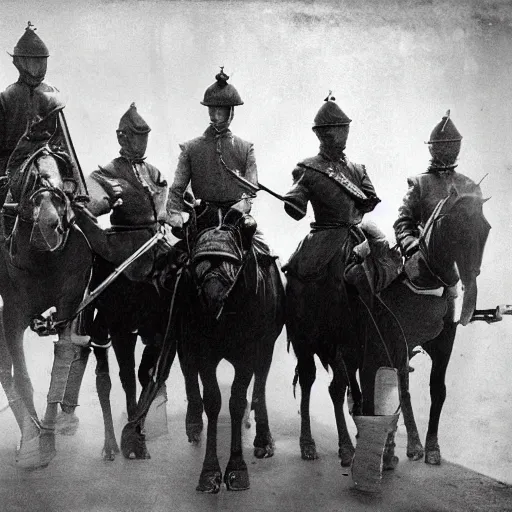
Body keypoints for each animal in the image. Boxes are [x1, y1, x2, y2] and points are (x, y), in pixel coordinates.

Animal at [0, 124, 92, 468]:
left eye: (62, 170)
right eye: (27, 174)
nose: (47, 225)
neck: (42, 259)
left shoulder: (70, 300)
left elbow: (63, 357)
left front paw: (50, 435)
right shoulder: (12, 312)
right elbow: (20, 374)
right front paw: (32, 443)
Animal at [171, 204, 286, 492]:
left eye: (235, 262)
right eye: (196, 261)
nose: (213, 301)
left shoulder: (250, 351)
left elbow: (236, 400)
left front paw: (237, 467)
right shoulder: (202, 350)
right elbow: (212, 400)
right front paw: (210, 471)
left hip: (266, 346)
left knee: (260, 383)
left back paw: (262, 435)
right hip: (184, 341)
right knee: (189, 372)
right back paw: (193, 422)